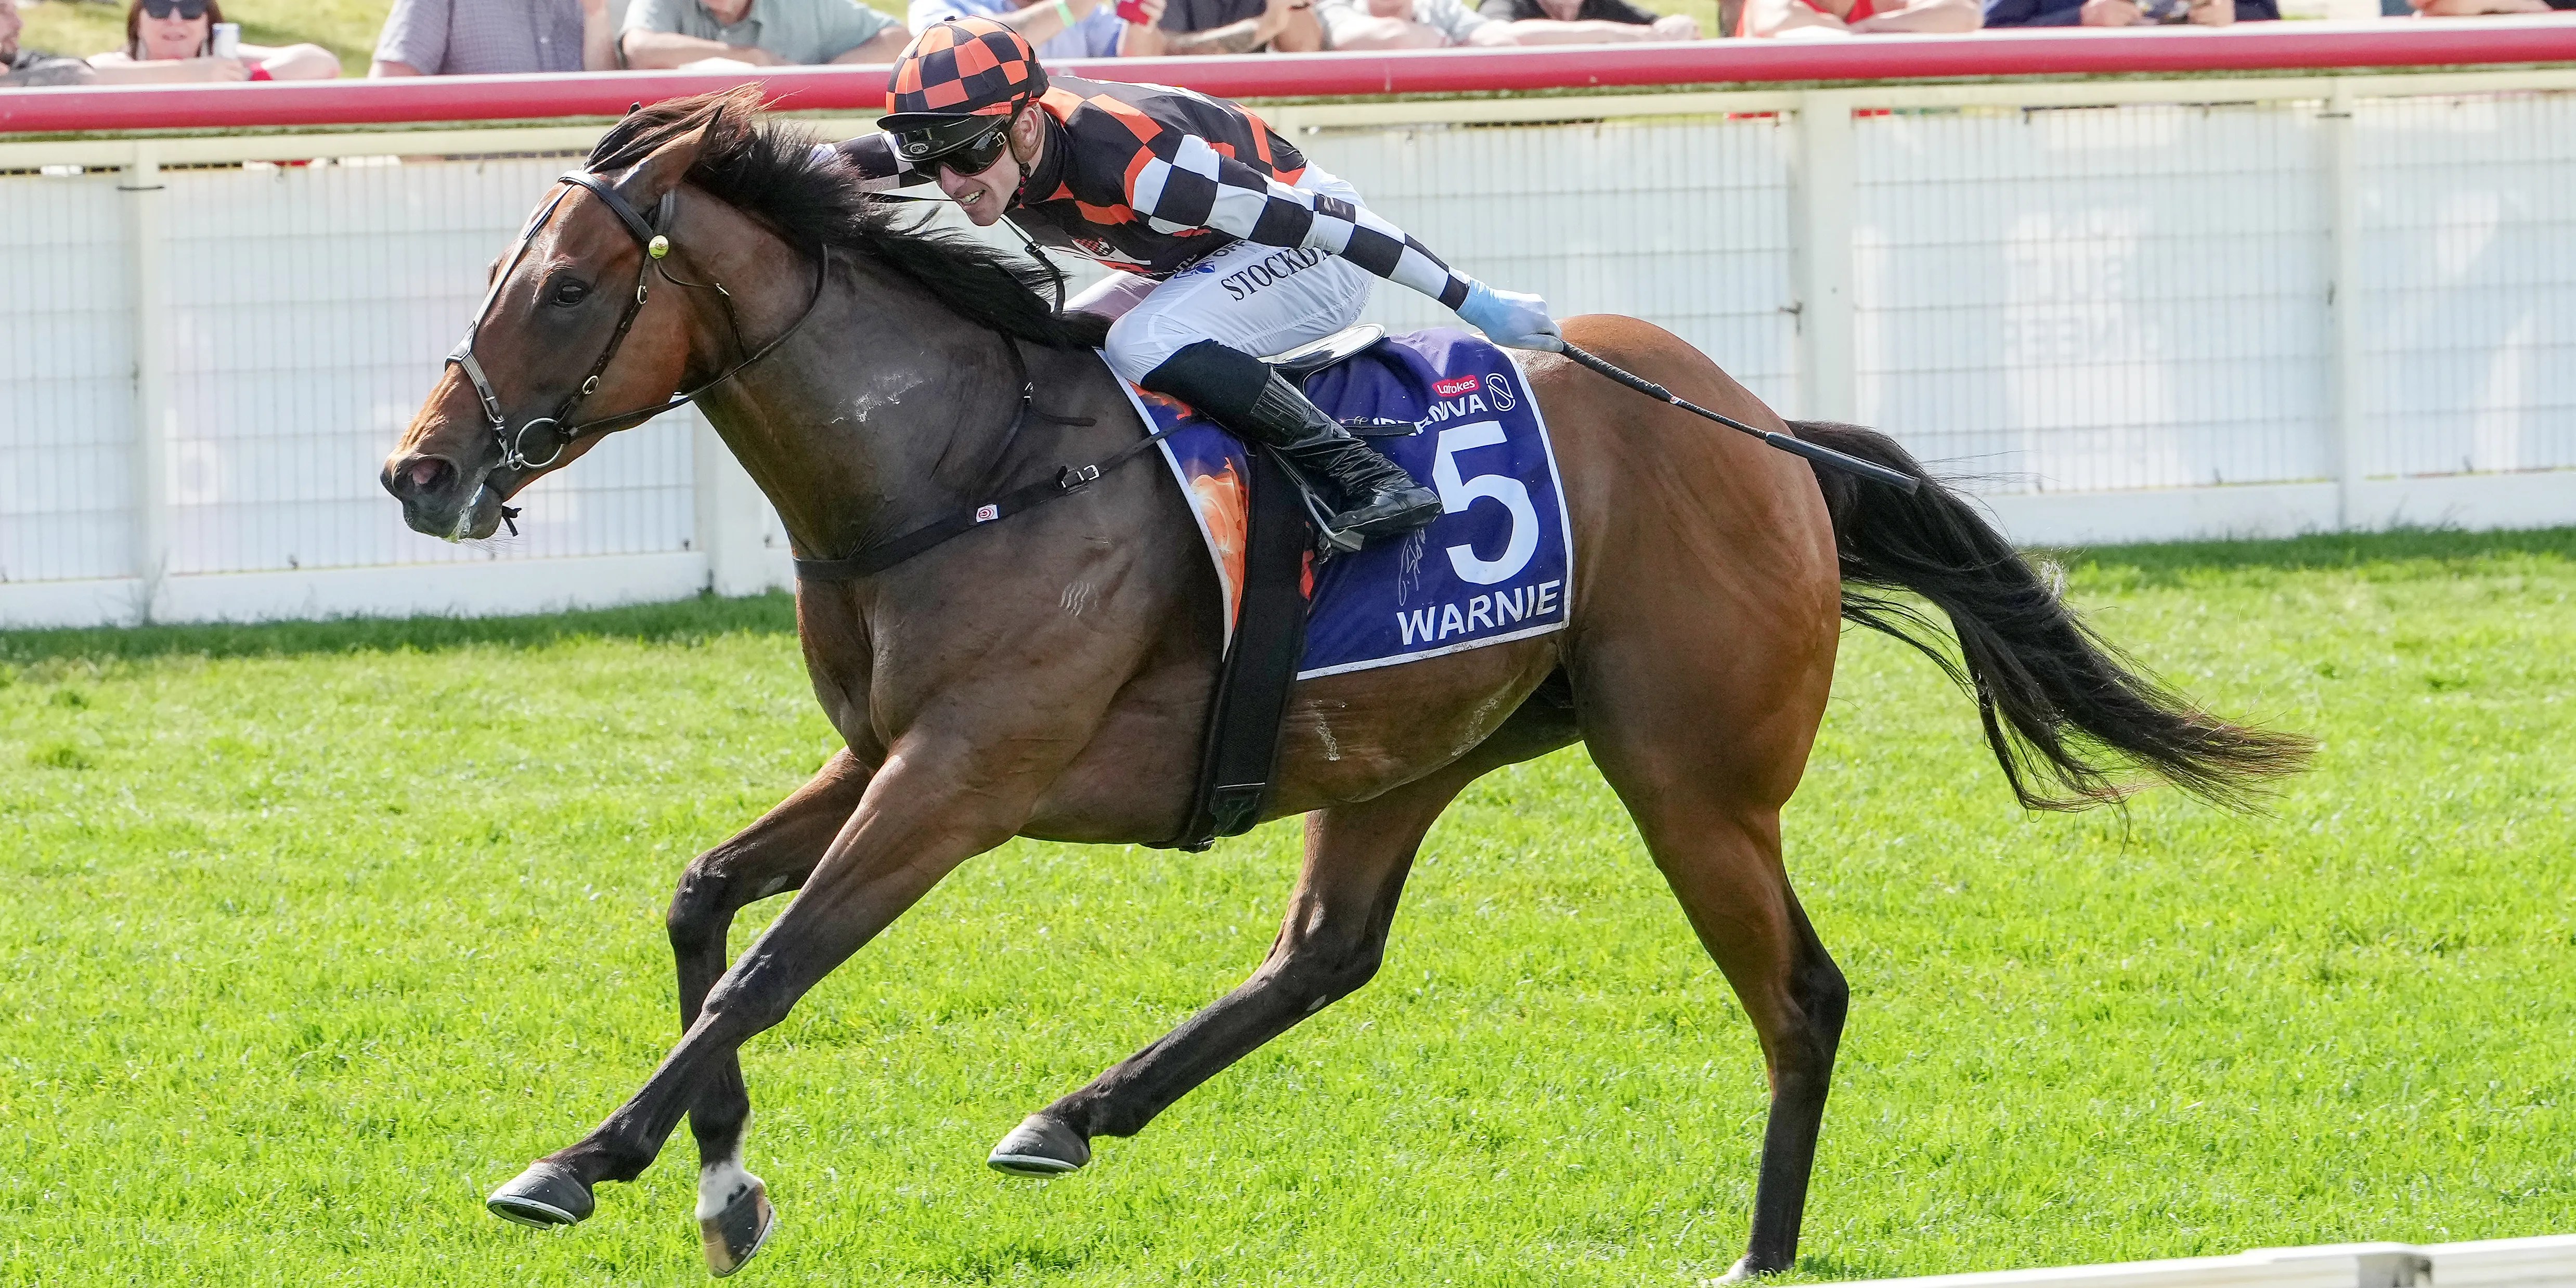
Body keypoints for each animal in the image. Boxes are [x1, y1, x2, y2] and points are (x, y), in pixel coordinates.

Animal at [381, 88, 2309, 1279]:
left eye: (569, 290)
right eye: (495, 273)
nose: (418, 474)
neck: (963, 462)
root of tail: (1768, 435)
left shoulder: (965, 776)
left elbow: (771, 964)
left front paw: (583, 1159)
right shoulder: (880, 754)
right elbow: (704, 896)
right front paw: (723, 1187)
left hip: (1691, 774)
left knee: (1801, 997)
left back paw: (1760, 1245)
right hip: (1407, 743)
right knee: (1326, 951)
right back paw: (1073, 1113)